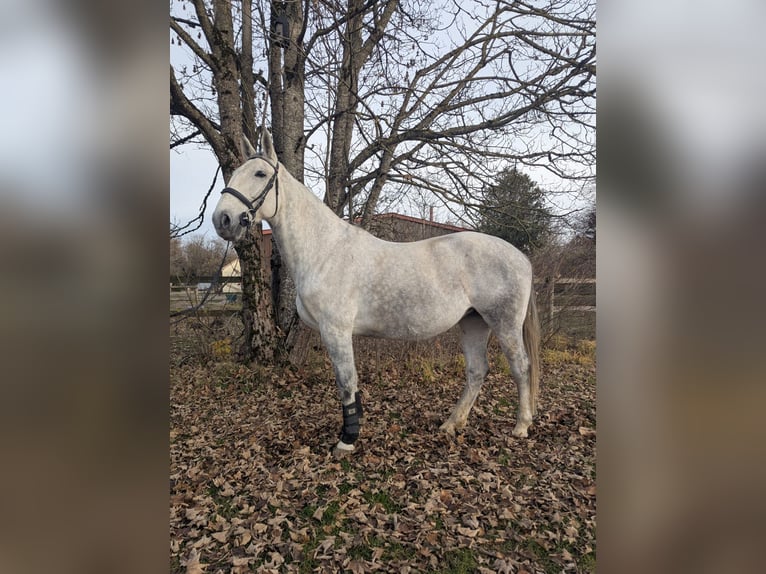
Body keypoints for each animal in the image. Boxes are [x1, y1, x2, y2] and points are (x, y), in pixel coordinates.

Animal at [212, 130, 540, 457]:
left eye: (260, 173)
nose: (223, 219)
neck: (325, 250)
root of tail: (521, 258)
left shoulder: (336, 330)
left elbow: (346, 382)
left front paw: (347, 440)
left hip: (503, 323)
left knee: (520, 367)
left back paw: (521, 426)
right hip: (473, 322)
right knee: (476, 371)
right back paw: (451, 424)